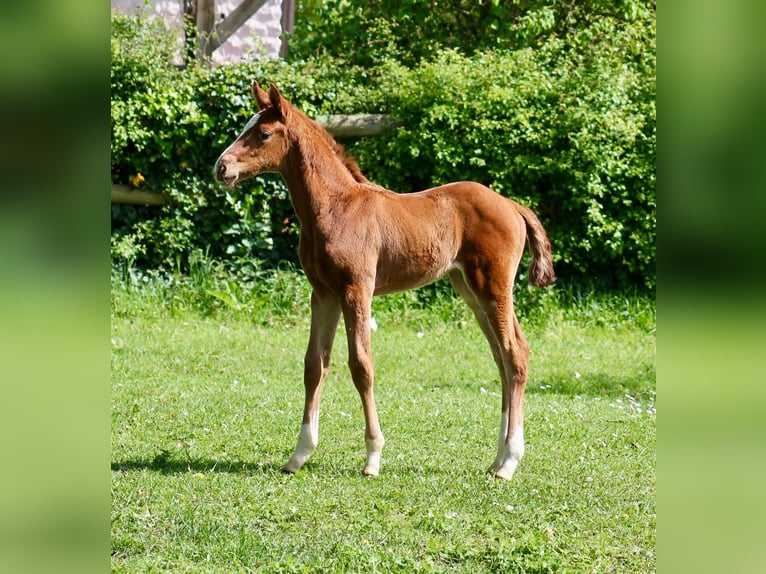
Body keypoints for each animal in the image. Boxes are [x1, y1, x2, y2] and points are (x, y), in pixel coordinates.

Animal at [213, 82, 556, 482]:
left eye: (263, 134)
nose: (221, 167)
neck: (335, 206)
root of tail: (512, 205)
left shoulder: (356, 290)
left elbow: (361, 365)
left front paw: (373, 456)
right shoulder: (323, 293)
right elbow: (314, 365)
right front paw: (299, 455)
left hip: (493, 287)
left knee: (515, 353)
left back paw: (510, 462)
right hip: (469, 289)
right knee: (502, 356)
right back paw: (497, 459)